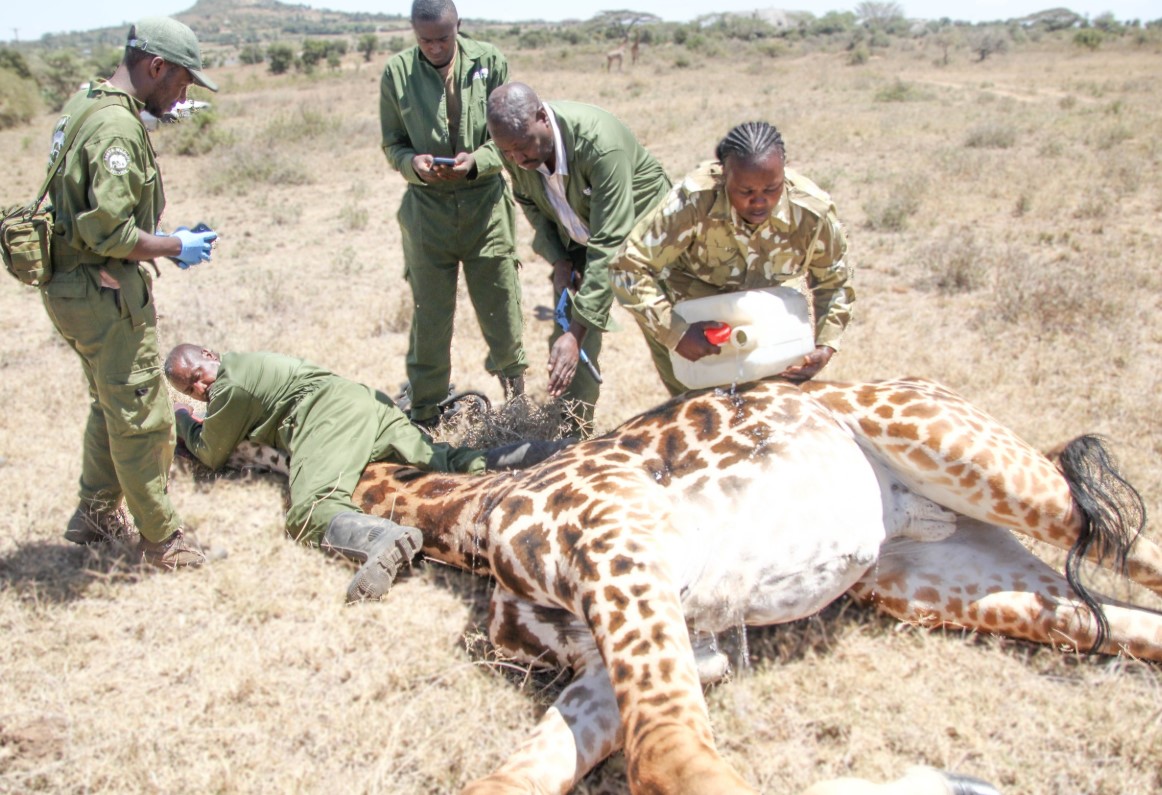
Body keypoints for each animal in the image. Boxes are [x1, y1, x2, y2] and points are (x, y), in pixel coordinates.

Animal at [329, 376, 1162, 794]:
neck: (479, 516)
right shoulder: (629, 654)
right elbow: (514, 779)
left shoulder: (623, 551)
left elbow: (667, 755)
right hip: (936, 581)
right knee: (1111, 617)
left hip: (976, 457)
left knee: (1133, 544)